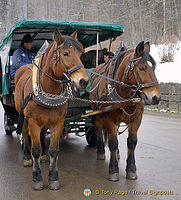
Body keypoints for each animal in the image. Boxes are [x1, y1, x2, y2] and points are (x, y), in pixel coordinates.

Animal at [13, 28, 88, 190]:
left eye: (81, 53)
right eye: (65, 53)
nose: (83, 81)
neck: (49, 90)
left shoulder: (58, 122)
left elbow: (54, 150)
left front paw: (53, 178)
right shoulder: (33, 122)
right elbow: (35, 148)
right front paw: (37, 178)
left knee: (41, 136)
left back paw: (42, 157)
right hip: (22, 115)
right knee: (25, 134)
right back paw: (27, 157)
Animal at [89, 41, 161, 182]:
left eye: (153, 68)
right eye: (142, 68)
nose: (156, 97)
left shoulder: (137, 118)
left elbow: (132, 142)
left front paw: (131, 169)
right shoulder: (109, 118)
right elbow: (112, 142)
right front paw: (113, 170)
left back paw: (116, 153)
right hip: (98, 112)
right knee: (99, 128)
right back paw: (100, 151)